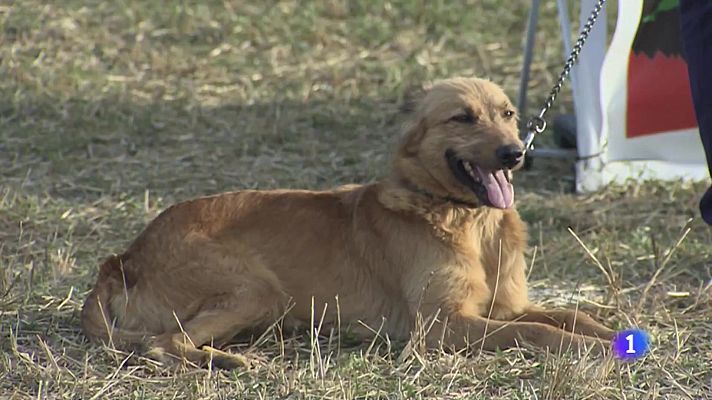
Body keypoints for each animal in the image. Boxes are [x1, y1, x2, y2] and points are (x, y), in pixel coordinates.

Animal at [79, 76, 612, 368]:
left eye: (507, 114)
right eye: (462, 117)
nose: (514, 153)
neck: (462, 217)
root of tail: (123, 259)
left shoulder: (503, 308)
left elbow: (571, 316)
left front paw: (610, 335)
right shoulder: (441, 327)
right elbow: (540, 331)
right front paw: (590, 350)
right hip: (256, 290)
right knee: (163, 343)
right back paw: (226, 362)